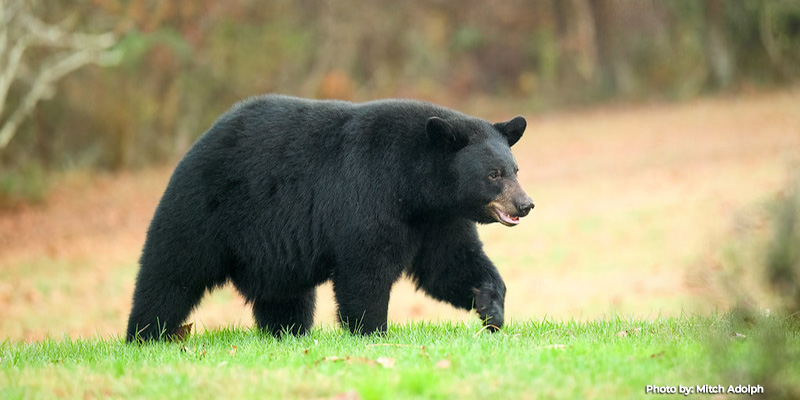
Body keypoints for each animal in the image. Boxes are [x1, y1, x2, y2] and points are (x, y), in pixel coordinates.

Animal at [126, 94, 534, 341]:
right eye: (494, 174)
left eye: (515, 169)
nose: (525, 204)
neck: (415, 186)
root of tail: (201, 140)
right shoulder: (369, 194)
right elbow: (366, 269)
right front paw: (372, 332)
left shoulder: (437, 220)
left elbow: (450, 264)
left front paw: (491, 308)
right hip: (205, 210)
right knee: (170, 272)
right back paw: (145, 335)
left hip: (271, 252)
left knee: (284, 296)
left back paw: (287, 333)